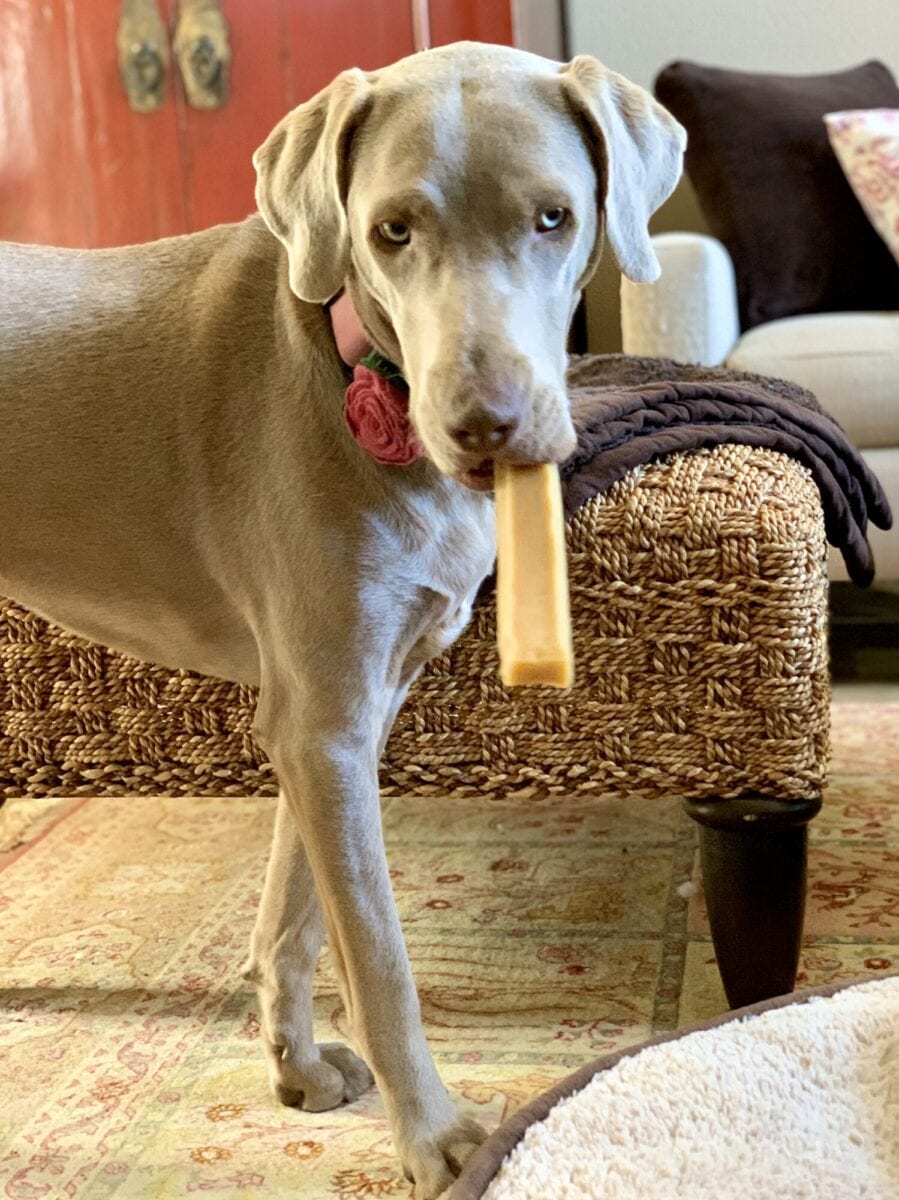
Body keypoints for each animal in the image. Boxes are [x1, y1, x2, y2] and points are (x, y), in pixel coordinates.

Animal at [0, 42, 681, 1195]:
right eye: (391, 231)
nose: (484, 426)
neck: (358, 371)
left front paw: (300, 1068)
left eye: (553, 216)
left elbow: (294, 919)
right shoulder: (323, 724)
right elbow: (379, 953)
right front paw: (436, 1138)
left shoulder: (337, 716)